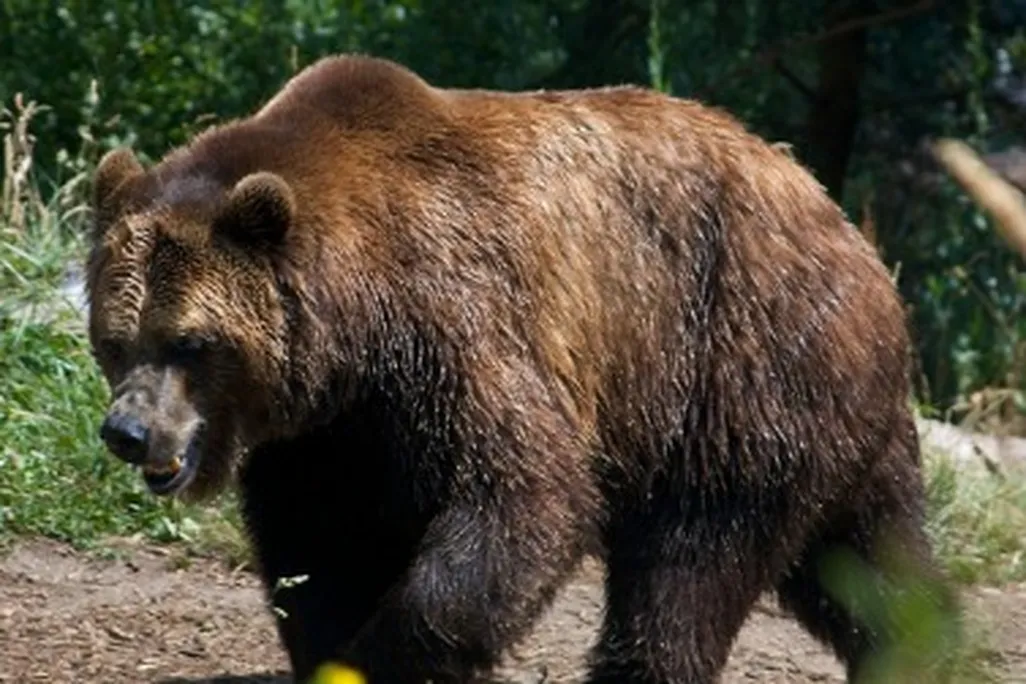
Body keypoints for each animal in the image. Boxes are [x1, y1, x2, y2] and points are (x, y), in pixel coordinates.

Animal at [85, 54, 956, 683]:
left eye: (190, 341)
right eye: (114, 338)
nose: (129, 430)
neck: (357, 319)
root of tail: (852, 234)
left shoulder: (457, 331)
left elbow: (522, 495)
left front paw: (388, 654)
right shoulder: (330, 431)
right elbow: (315, 545)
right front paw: (331, 646)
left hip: (735, 364)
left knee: (691, 561)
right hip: (837, 419)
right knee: (872, 559)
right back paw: (925, 650)